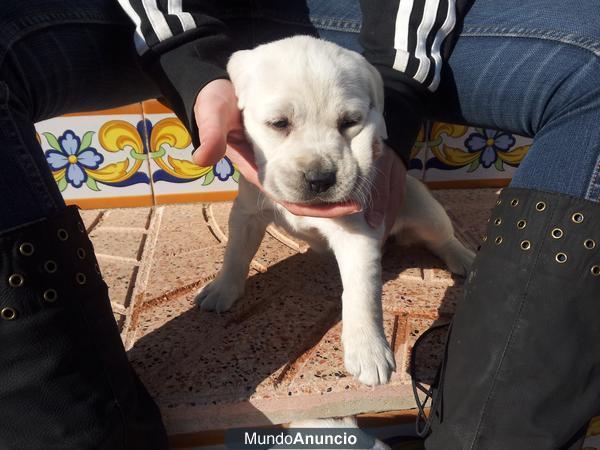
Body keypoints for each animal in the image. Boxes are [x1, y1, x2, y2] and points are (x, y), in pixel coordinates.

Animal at [197, 36, 474, 386]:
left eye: (349, 123)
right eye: (279, 124)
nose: (320, 179)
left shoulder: (358, 232)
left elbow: (361, 292)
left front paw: (368, 350)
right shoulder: (247, 212)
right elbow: (236, 253)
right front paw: (222, 290)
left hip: (424, 209)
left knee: (443, 238)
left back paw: (465, 258)